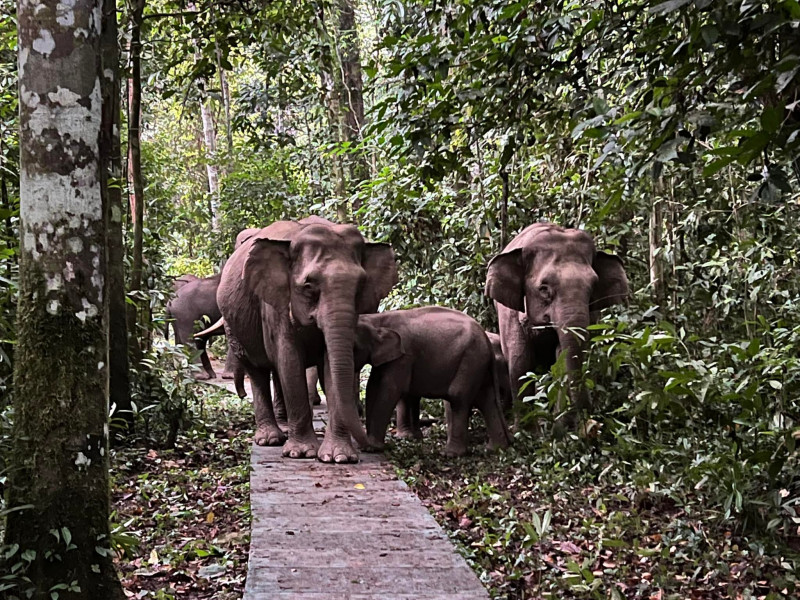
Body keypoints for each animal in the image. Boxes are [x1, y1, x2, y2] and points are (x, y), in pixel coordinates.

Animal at [214, 216, 398, 463]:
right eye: (309, 286)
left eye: (360, 286)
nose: (373, 446)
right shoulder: (275, 305)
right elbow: (289, 360)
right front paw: (300, 453)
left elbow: (332, 365)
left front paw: (338, 457)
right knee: (258, 371)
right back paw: (270, 439)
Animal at [353, 307, 512, 457]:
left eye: (354, 348)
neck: (377, 319)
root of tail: (486, 339)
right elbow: (373, 386)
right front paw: (371, 445)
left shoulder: (404, 357)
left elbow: (390, 389)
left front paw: (372, 447)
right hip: (478, 363)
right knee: (487, 401)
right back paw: (495, 449)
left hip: (471, 360)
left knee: (458, 397)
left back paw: (450, 454)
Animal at [485, 222, 628, 428]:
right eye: (544, 289)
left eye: (593, 287)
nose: (591, 420)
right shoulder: (509, 312)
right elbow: (520, 360)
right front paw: (525, 431)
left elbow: (562, 355)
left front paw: (562, 427)